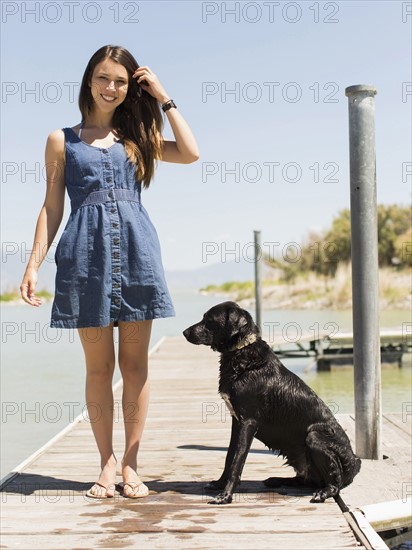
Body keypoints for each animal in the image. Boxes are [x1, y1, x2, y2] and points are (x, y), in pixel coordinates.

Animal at [183, 304, 360, 506]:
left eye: (209, 320)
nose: (184, 332)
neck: (242, 355)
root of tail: (355, 464)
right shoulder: (237, 422)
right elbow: (229, 456)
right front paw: (219, 484)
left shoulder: (248, 422)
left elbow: (237, 461)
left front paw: (226, 496)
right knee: (306, 479)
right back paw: (276, 480)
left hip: (314, 436)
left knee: (334, 484)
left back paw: (323, 492)